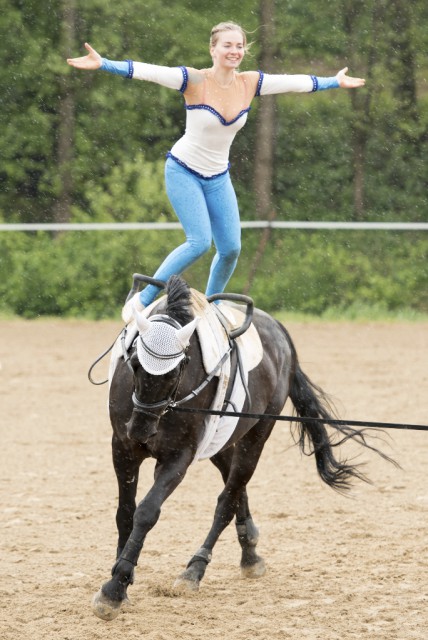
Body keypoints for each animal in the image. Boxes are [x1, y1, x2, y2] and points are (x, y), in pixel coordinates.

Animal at [93, 276, 392, 620]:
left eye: (178, 369)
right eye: (134, 362)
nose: (142, 429)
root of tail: (279, 331)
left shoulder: (178, 457)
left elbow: (146, 512)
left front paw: (115, 588)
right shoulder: (123, 448)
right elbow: (125, 512)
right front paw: (122, 578)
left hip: (257, 434)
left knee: (227, 499)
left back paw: (195, 570)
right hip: (223, 439)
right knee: (235, 488)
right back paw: (249, 550)